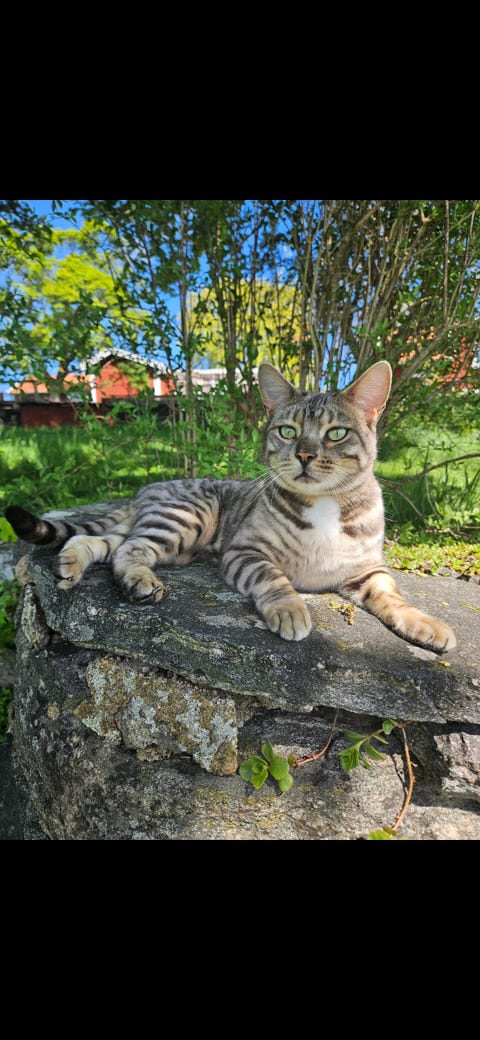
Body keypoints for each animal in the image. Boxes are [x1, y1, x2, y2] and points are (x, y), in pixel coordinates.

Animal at [5, 360, 455, 652]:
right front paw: (290, 608)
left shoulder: (366, 569)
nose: (305, 455)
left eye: (336, 434)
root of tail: (145, 491)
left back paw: (71, 564)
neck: (325, 506)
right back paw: (138, 581)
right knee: (128, 549)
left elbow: (393, 596)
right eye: (287, 431)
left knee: (99, 541)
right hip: (186, 516)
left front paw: (425, 623)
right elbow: (273, 578)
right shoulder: (246, 551)